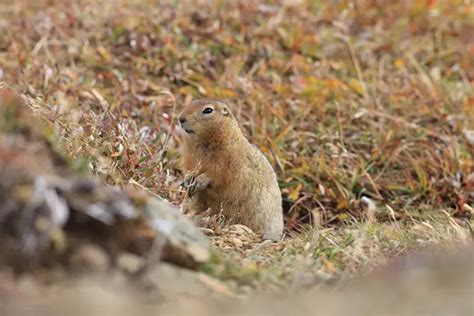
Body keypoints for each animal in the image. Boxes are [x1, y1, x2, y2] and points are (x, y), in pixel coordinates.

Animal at [177, 99, 282, 239]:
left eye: (208, 110)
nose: (180, 118)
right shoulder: (191, 159)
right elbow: (190, 170)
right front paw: (187, 180)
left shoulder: (226, 160)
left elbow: (216, 174)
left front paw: (200, 180)